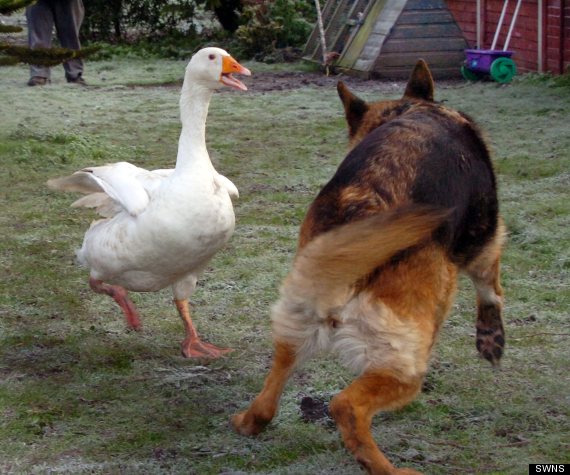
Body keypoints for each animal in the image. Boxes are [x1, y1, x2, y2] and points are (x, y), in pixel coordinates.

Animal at [229, 60, 504, 475]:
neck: (409, 109)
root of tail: (359, 206)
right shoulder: (486, 240)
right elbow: (491, 288)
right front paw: (491, 341)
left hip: (295, 324)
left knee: (274, 386)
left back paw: (250, 421)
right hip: (404, 360)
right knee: (346, 406)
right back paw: (388, 468)